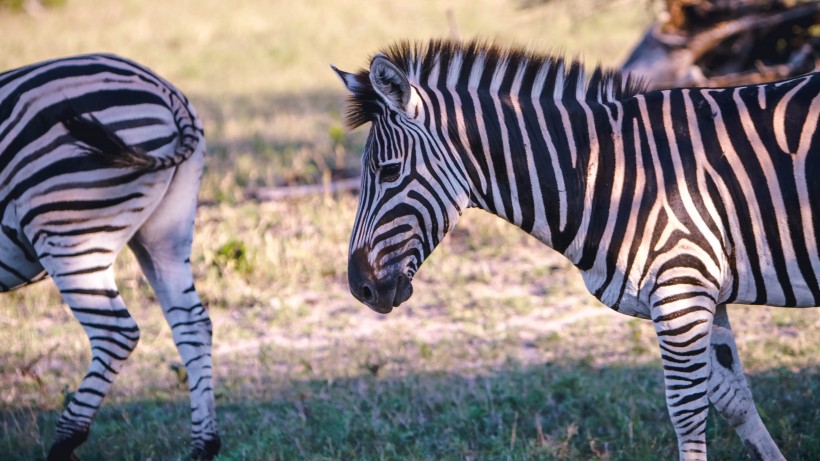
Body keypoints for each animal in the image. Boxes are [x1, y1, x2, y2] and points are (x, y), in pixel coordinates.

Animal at [0, 54, 219, 460]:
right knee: (194, 323)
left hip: (69, 231)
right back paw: (203, 445)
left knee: (115, 332)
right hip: (166, 234)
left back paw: (65, 441)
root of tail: (167, 92)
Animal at [334, 40, 820, 460]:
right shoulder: (704, 290)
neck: (612, 171)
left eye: (389, 171)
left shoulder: (681, 286)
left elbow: (686, 411)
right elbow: (734, 399)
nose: (360, 289)